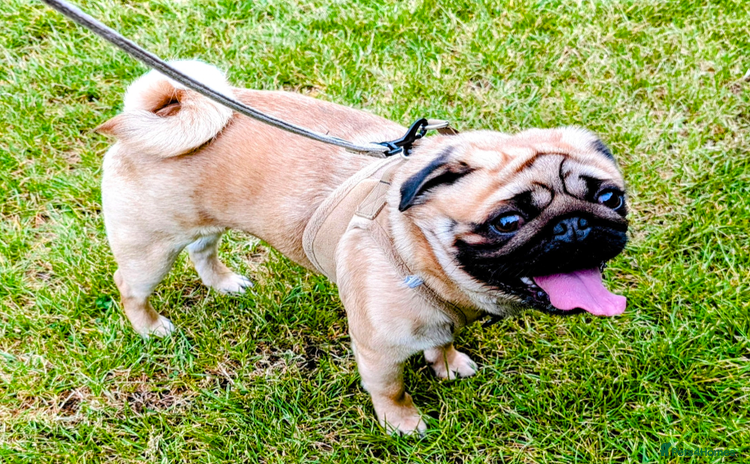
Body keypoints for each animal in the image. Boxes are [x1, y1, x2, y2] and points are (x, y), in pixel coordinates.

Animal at [97, 60, 628, 435]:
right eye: (507, 222)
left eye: (611, 198)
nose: (575, 225)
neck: (417, 252)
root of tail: (163, 112)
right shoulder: (379, 349)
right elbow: (391, 391)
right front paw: (405, 425)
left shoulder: (437, 322)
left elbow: (441, 340)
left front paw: (448, 364)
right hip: (149, 248)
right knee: (131, 285)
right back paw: (151, 327)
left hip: (202, 225)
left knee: (203, 250)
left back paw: (225, 284)